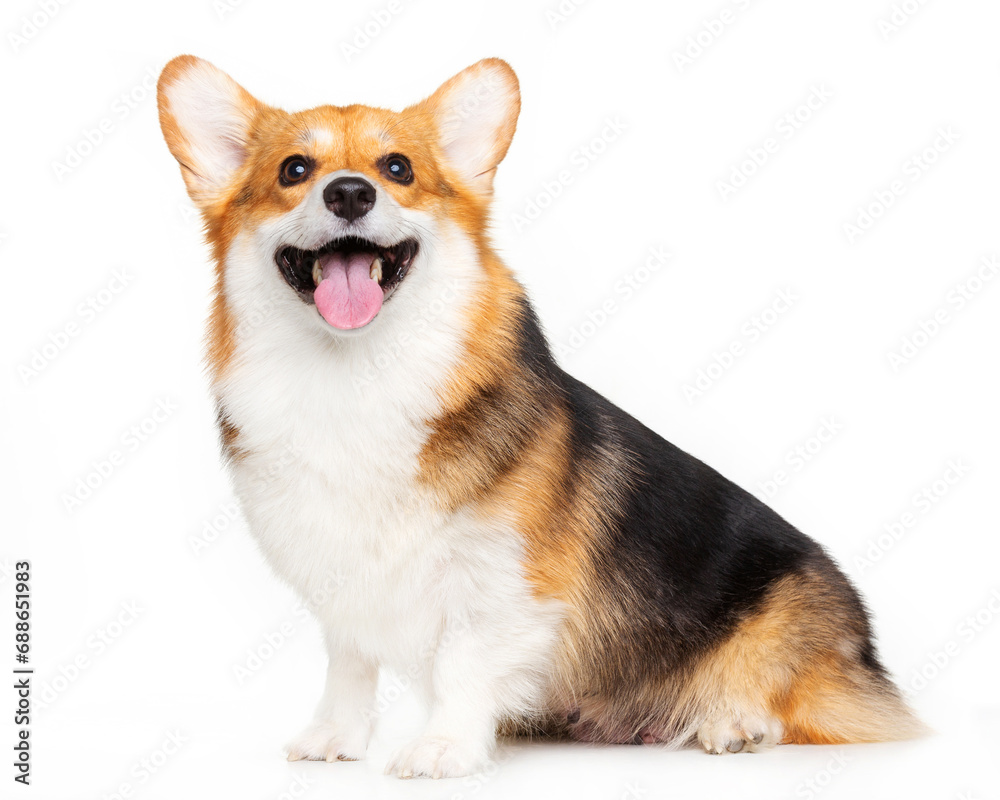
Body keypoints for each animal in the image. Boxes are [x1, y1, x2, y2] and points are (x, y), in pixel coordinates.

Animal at [158, 54, 928, 776]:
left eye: (397, 167)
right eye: (295, 170)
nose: (349, 190)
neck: (353, 376)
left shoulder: (501, 580)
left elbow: (461, 663)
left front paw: (443, 748)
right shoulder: (339, 577)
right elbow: (348, 662)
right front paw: (334, 738)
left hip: (782, 626)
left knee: (787, 699)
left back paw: (733, 723)